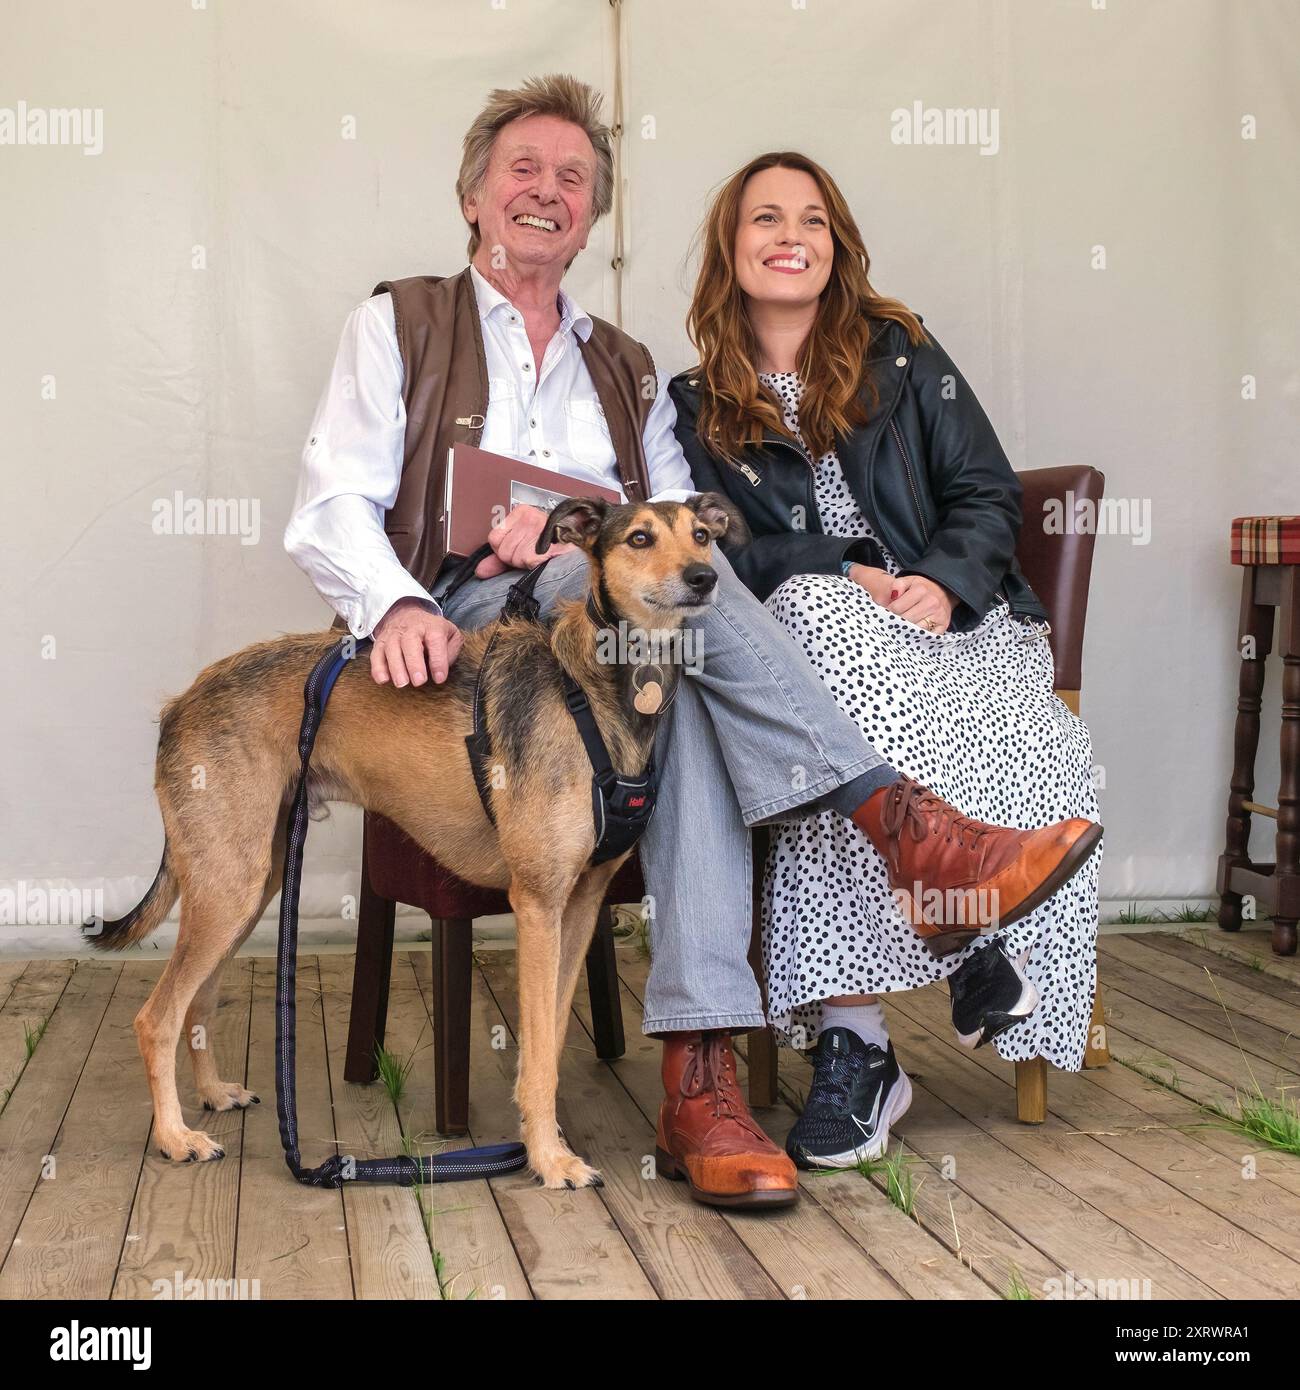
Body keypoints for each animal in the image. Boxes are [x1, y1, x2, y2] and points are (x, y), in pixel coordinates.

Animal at [88, 489, 739, 1184]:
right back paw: (175, 1136)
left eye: (702, 535)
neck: (595, 686)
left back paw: (212, 1095)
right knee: (157, 1017)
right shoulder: (538, 903)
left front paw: (543, 1140)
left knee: (198, 1005)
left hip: (248, 885)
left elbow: (552, 1039)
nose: (705, 579)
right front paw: (548, 1157)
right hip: (229, 889)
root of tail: (179, 704)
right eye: (639, 538)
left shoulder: (583, 904)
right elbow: (538, 1052)